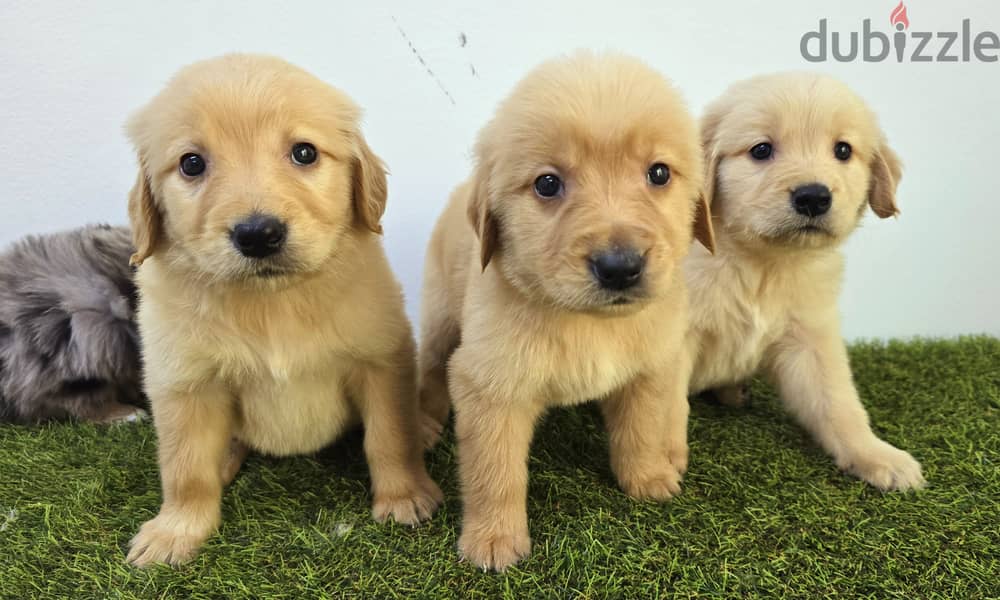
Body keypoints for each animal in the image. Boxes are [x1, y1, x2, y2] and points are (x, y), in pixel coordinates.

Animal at [122, 52, 442, 568]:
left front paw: (405, 495)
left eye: (304, 153)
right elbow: (185, 468)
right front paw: (176, 530)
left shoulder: (380, 360)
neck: (271, 302)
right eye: (191, 163)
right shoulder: (182, 385)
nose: (258, 234)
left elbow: (390, 436)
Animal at [418, 52, 716, 572]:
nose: (620, 267)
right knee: (431, 368)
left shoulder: (652, 364)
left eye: (659, 173)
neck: (589, 323)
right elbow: (495, 470)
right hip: (440, 318)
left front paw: (646, 476)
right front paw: (493, 539)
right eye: (548, 183)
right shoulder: (490, 387)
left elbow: (642, 426)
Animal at [684, 72, 924, 490]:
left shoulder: (811, 339)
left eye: (843, 150)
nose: (813, 197)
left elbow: (838, 404)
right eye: (761, 150)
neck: (763, 264)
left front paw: (878, 455)